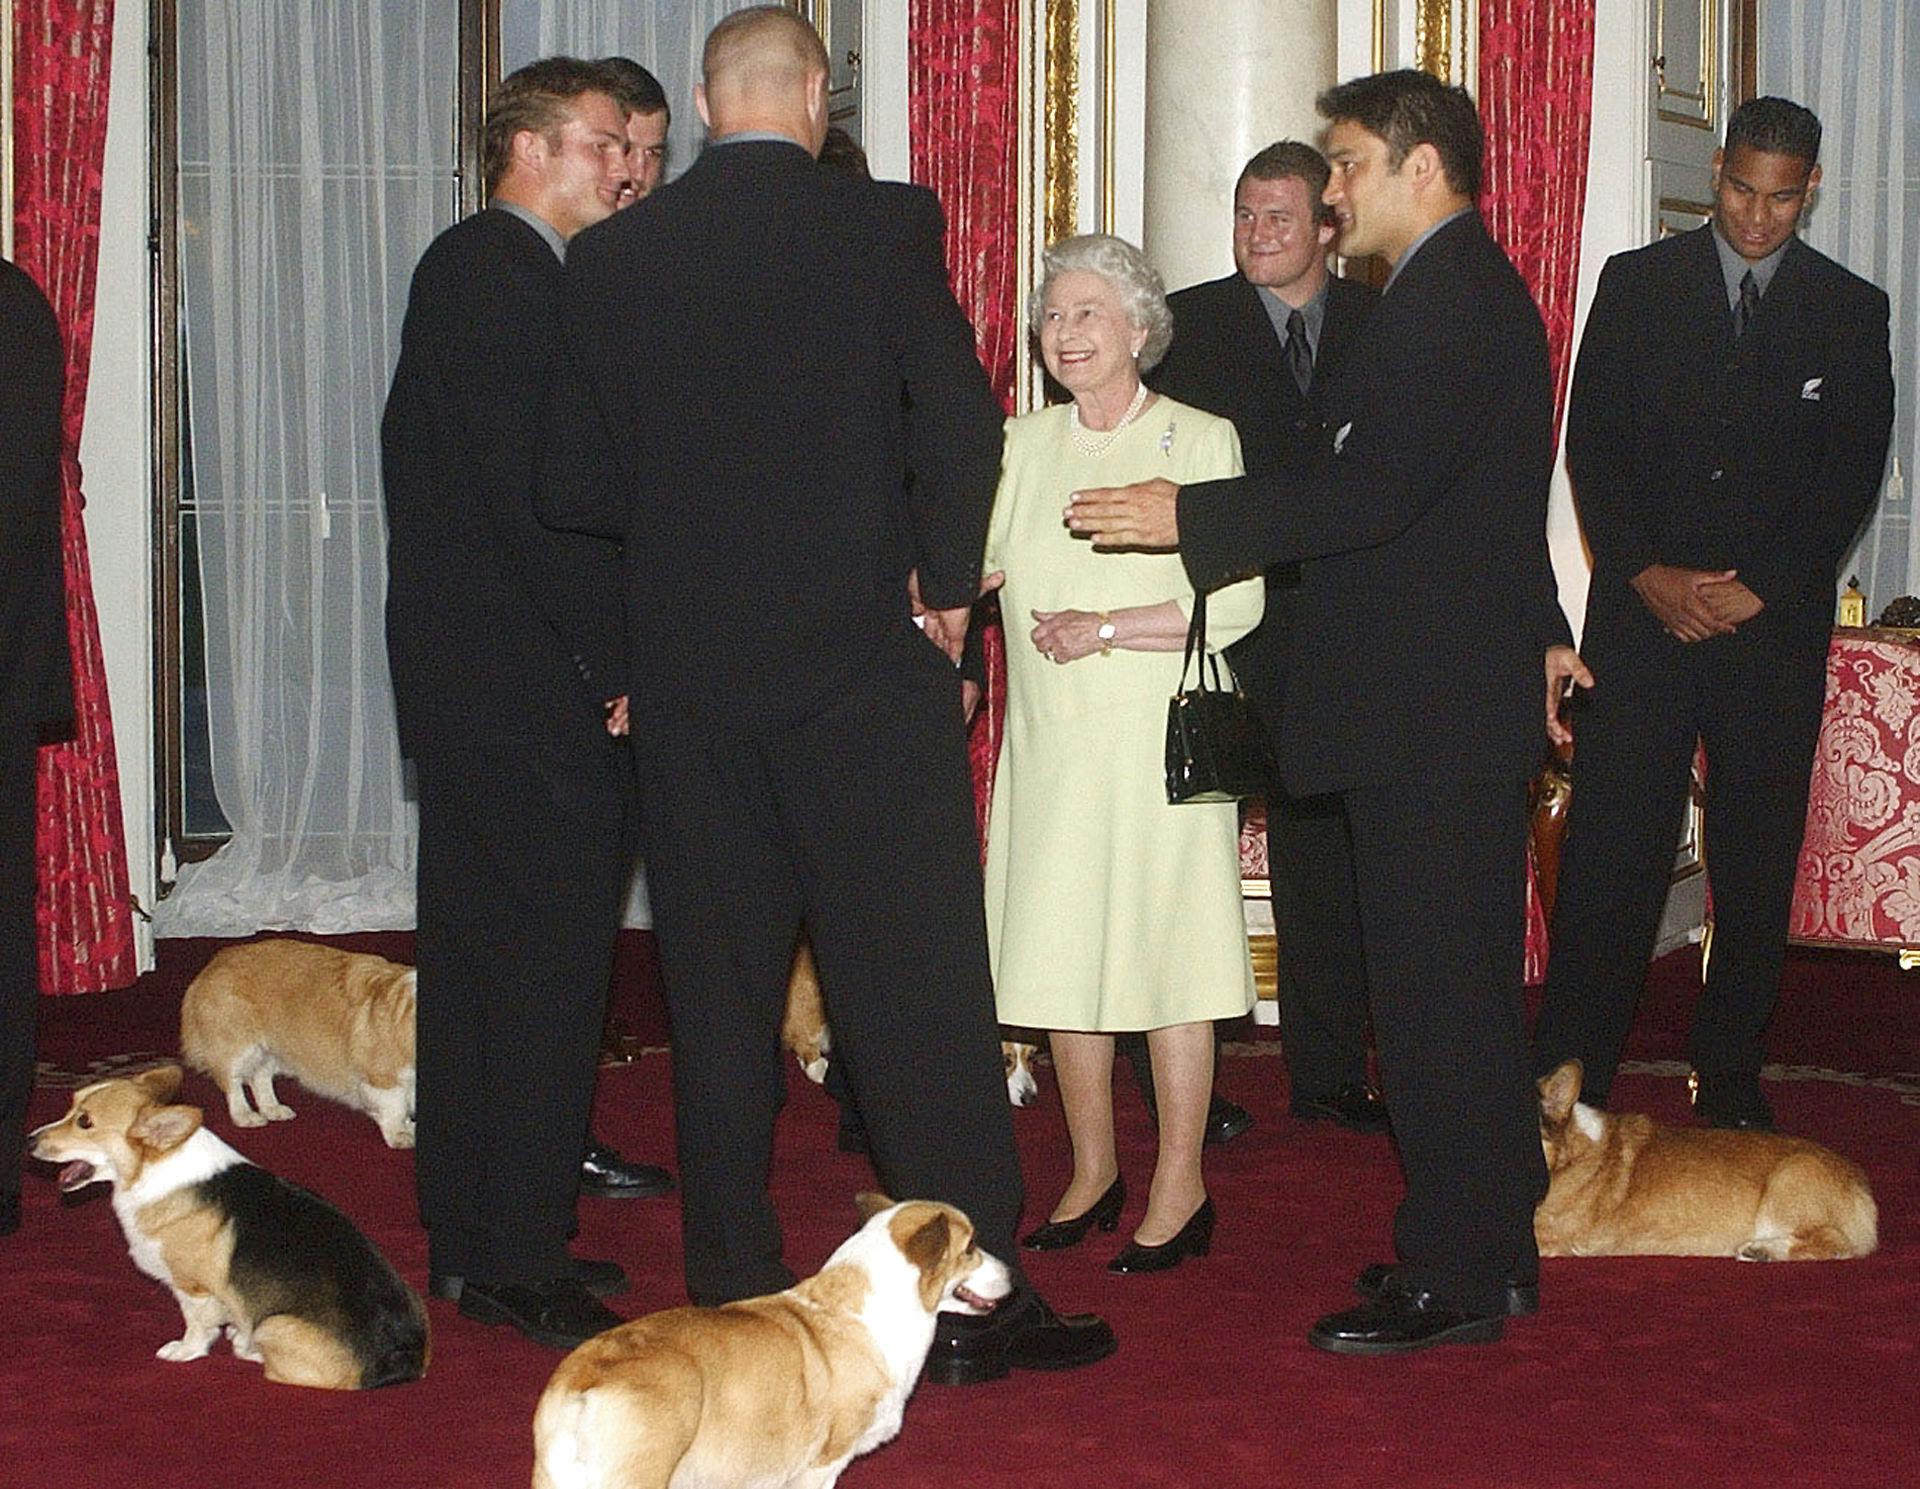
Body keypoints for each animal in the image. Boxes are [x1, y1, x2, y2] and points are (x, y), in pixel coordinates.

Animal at [30, 1066, 428, 1389]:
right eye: (71, 1106)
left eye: (85, 1122)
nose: (30, 1139)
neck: (154, 1168)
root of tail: (400, 1362)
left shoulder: (192, 1287)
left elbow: (197, 1325)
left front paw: (185, 1350)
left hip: (272, 1324)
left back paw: (246, 1345)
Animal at [179, 936, 416, 1143]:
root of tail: (213, 964)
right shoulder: (382, 1077)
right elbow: (395, 1108)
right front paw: (400, 1136)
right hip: (239, 1047)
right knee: (233, 1083)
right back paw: (245, 1116)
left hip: (269, 1050)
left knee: (260, 1078)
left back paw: (273, 1109)